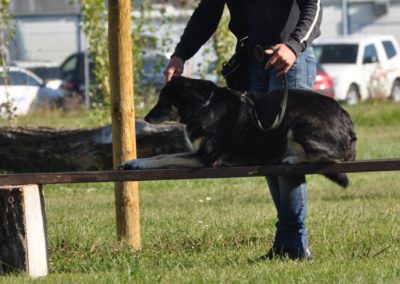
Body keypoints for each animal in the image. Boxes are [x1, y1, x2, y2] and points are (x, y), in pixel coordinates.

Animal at [119, 76, 356, 187]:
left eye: (163, 101)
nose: (146, 118)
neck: (204, 106)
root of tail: (349, 124)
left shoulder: (205, 158)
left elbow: (166, 158)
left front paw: (138, 164)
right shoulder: (197, 153)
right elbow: (160, 155)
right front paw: (133, 162)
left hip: (297, 124)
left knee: (329, 157)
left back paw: (291, 159)